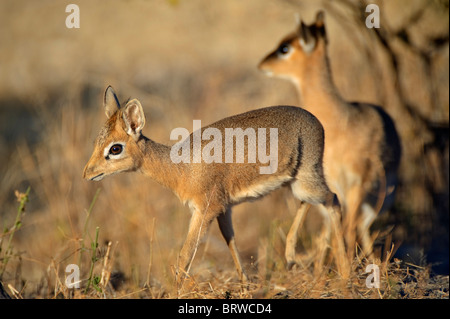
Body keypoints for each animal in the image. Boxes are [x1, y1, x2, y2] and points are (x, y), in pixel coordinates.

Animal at [81, 86, 342, 284]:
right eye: (96, 142)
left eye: (115, 148)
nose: (87, 173)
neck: (181, 167)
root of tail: (315, 120)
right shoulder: (224, 209)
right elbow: (230, 241)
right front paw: (245, 284)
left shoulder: (205, 210)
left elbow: (185, 255)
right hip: (296, 182)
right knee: (310, 202)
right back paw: (291, 256)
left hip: (307, 180)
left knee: (334, 201)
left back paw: (344, 273)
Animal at [258, 10, 402, 264]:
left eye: (285, 47)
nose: (262, 64)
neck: (339, 121)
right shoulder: (333, 185)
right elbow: (331, 234)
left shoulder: (357, 184)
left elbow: (346, 231)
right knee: (338, 231)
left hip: (376, 198)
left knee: (357, 228)